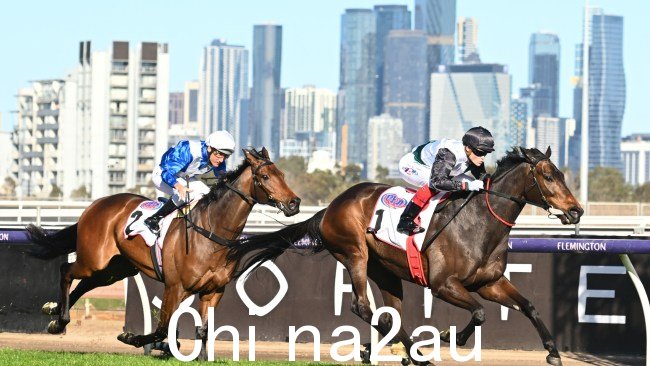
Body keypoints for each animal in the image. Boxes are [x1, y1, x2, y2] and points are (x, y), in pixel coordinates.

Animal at [228, 147, 584, 364]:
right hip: (355, 254)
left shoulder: (489, 283)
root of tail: (330, 207)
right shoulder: (444, 285)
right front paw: (450, 336)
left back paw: (393, 351)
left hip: (385, 270)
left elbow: (529, 306)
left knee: (390, 316)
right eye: (548, 176)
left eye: (562, 175)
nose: (576, 211)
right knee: (363, 307)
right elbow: (480, 313)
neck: (478, 224)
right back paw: (415, 355)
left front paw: (553, 352)